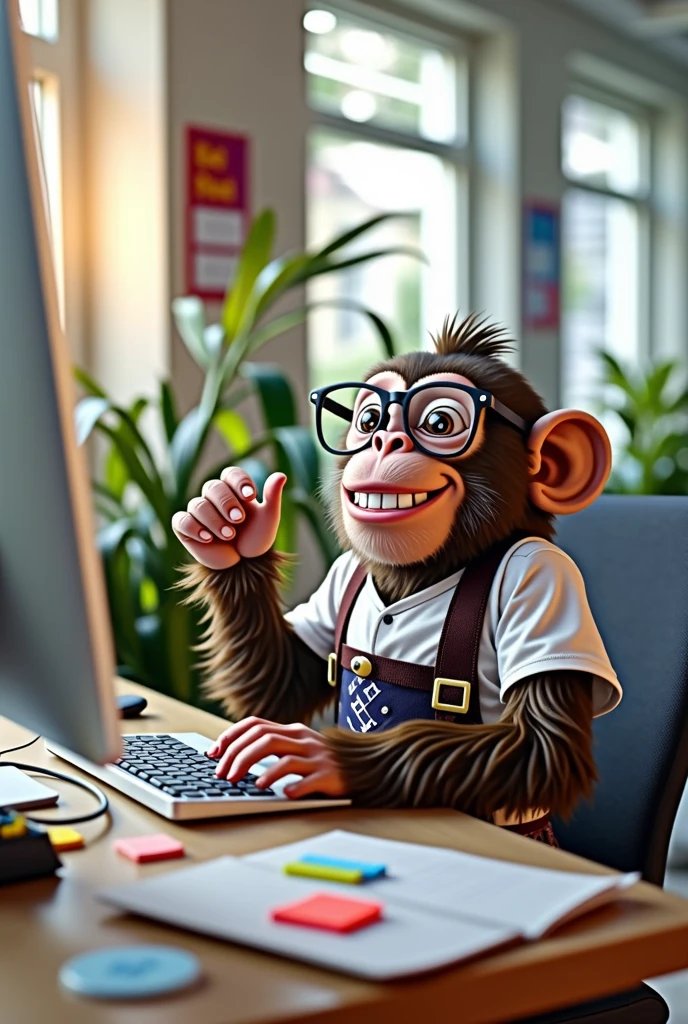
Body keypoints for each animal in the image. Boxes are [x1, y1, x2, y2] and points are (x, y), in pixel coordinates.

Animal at [170, 315, 618, 843]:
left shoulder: (541, 577)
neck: (420, 574)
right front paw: (233, 530)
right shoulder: (342, 572)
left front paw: (323, 755)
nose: (386, 441)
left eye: (440, 424)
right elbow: (281, 684)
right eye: (367, 421)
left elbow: (542, 746)